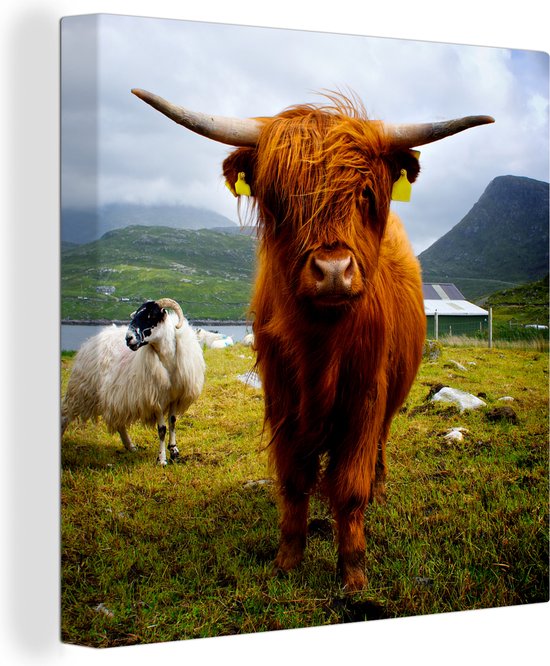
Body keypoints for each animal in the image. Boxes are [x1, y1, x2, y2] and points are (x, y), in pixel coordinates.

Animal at [61, 298, 205, 465]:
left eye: (151, 315)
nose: (128, 338)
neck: (167, 360)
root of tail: (91, 341)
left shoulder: (175, 397)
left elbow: (173, 422)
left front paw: (174, 452)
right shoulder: (156, 398)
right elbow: (162, 429)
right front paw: (162, 459)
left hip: (114, 396)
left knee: (119, 423)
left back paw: (130, 446)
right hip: (81, 391)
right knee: (65, 415)